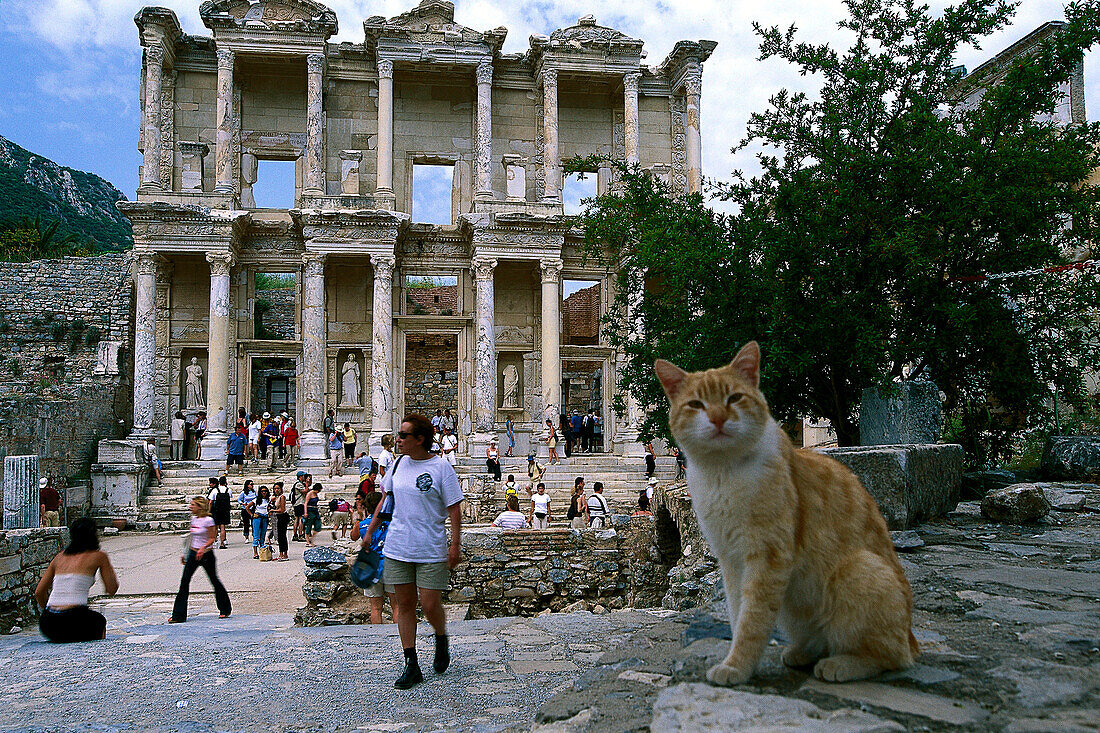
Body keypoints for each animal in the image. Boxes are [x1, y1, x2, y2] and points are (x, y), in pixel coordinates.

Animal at [651, 338, 919, 682]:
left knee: (891, 655)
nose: (718, 418)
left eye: (734, 398)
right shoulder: (731, 560)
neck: (722, 473)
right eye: (696, 405)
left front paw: (736, 668)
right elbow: (738, 614)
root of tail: (912, 639)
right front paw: (734, 660)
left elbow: (752, 621)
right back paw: (803, 653)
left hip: (858, 569)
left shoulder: (768, 556)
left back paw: (840, 664)